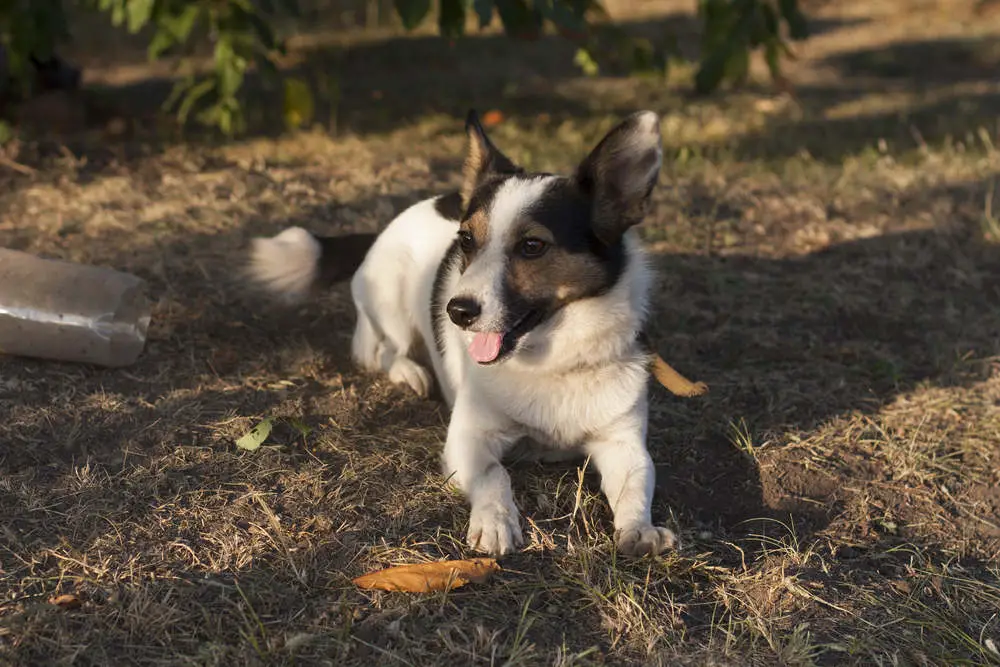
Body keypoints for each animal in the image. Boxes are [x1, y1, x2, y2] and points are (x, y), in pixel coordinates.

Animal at [248, 109, 680, 560]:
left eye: (532, 246)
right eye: (467, 240)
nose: (456, 311)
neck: (550, 361)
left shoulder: (624, 444)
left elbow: (636, 486)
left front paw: (640, 529)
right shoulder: (467, 439)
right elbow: (494, 475)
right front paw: (495, 521)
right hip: (393, 306)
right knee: (379, 352)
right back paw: (410, 373)